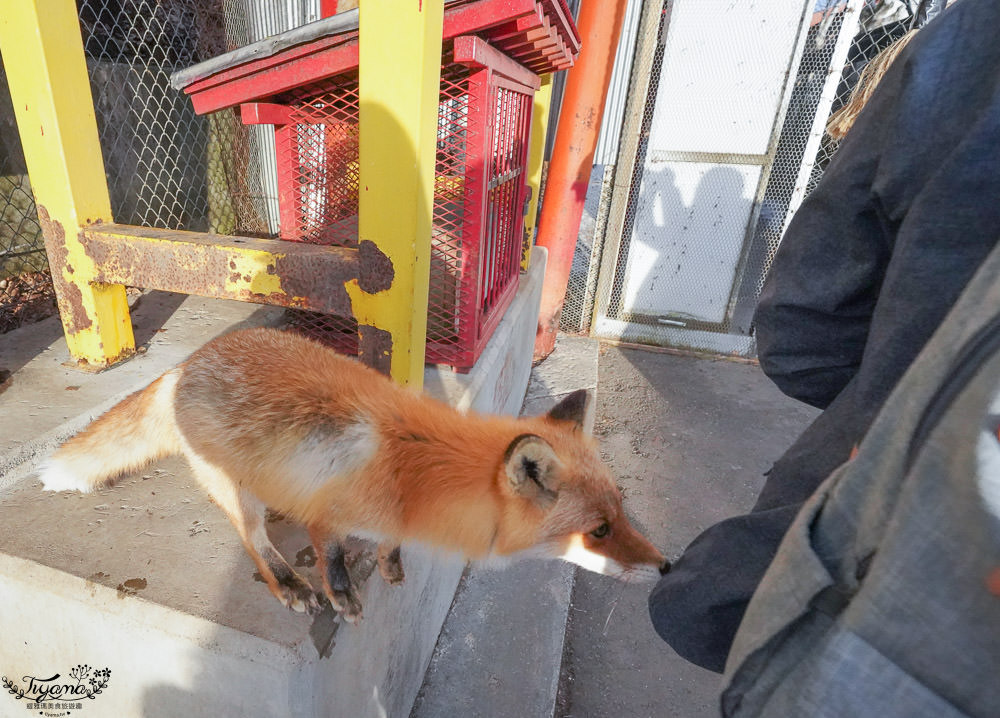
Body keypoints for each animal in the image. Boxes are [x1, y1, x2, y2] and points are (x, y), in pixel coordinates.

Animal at [39, 330, 668, 620]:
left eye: (621, 512)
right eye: (599, 531)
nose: (667, 567)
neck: (417, 475)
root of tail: (186, 363)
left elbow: (388, 543)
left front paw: (390, 561)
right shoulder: (330, 514)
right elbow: (332, 553)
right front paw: (339, 591)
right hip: (235, 491)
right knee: (255, 541)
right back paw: (288, 583)